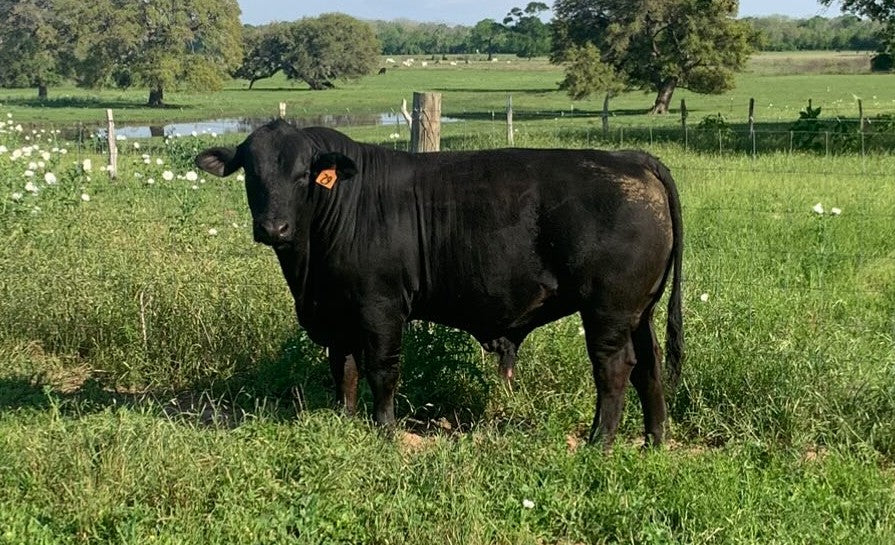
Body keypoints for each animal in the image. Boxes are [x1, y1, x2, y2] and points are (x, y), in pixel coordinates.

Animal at [195, 120, 683, 448]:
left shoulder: (380, 306)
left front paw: (384, 431)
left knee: (615, 368)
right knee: (649, 365)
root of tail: (631, 158)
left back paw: (599, 442)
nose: (273, 228)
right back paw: (654, 440)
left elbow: (381, 370)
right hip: (641, 310)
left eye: (302, 176)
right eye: (252, 173)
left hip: (608, 309)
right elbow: (343, 368)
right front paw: (344, 419)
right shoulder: (337, 313)